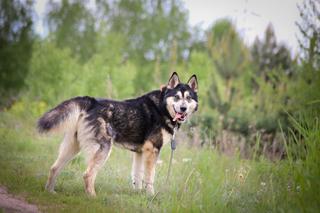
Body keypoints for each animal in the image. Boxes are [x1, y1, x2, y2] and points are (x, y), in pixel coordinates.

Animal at [37, 72, 198, 196]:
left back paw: (50, 191)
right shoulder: (152, 150)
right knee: (88, 174)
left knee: (54, 168)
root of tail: (91, 101)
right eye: (176, 97)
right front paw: (150, 195)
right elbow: (149, 177)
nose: (183, 109)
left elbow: (137, 176)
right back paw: (92, 197)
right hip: (103, 149)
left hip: (72, 147)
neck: (162, 107)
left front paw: (138, 194)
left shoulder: (140, 152)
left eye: (188, 98)